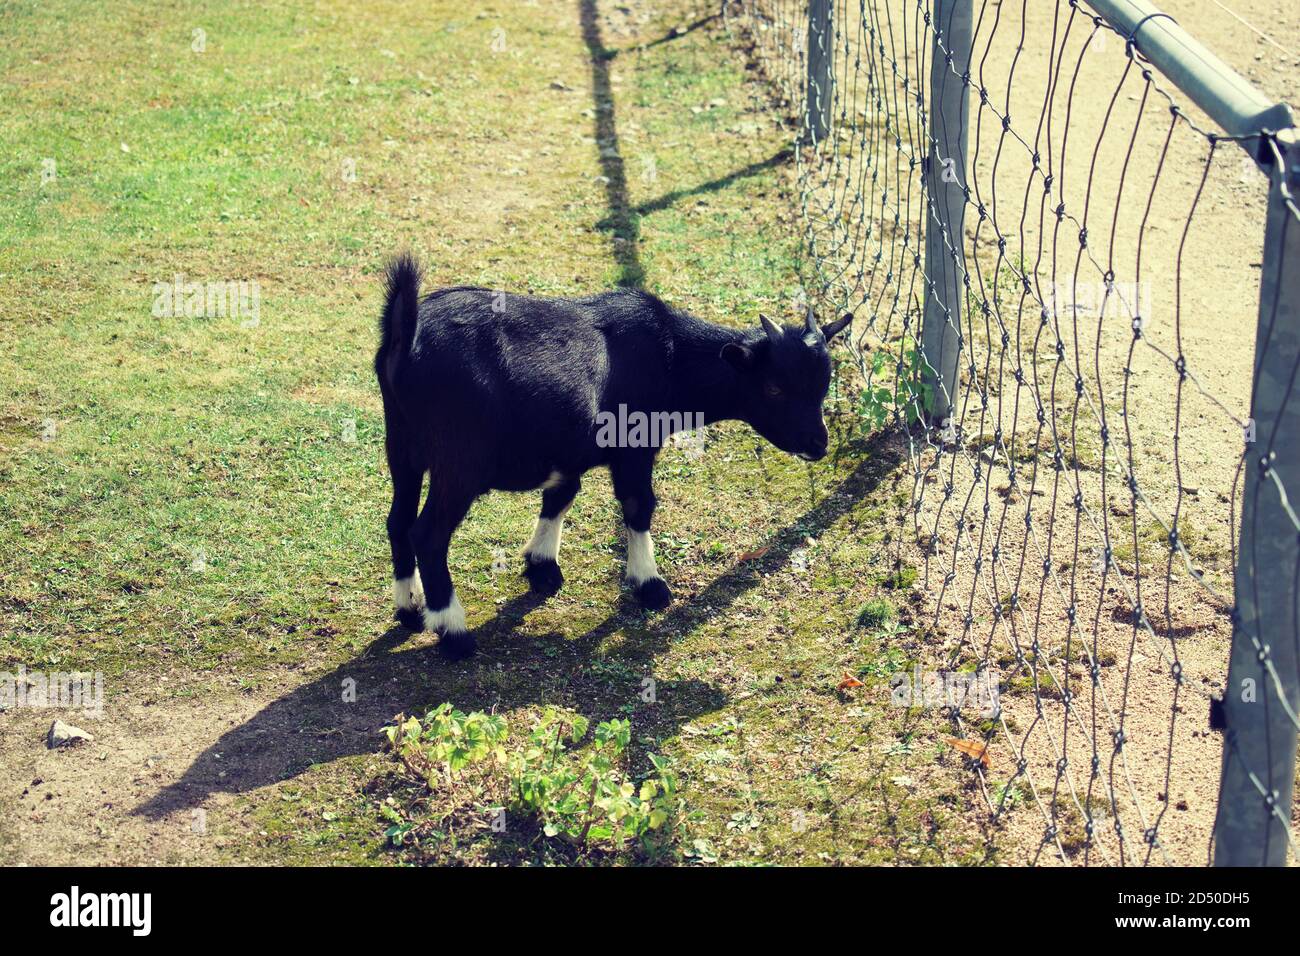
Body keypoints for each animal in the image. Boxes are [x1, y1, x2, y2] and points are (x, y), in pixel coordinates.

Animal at [374, 254, 852, 658]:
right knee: (428, 534)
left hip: (402, 445)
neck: (670, 357)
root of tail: (406, 332)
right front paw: (650, 585)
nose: (818, 444)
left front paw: (542, 567)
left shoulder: (568, 448)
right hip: (459, 462)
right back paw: (453, 633)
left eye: (824, 384)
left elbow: (561, 496)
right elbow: (639, 507)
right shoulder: (634, 448)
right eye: (773, 388)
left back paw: (410, 609)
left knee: (398, 521)